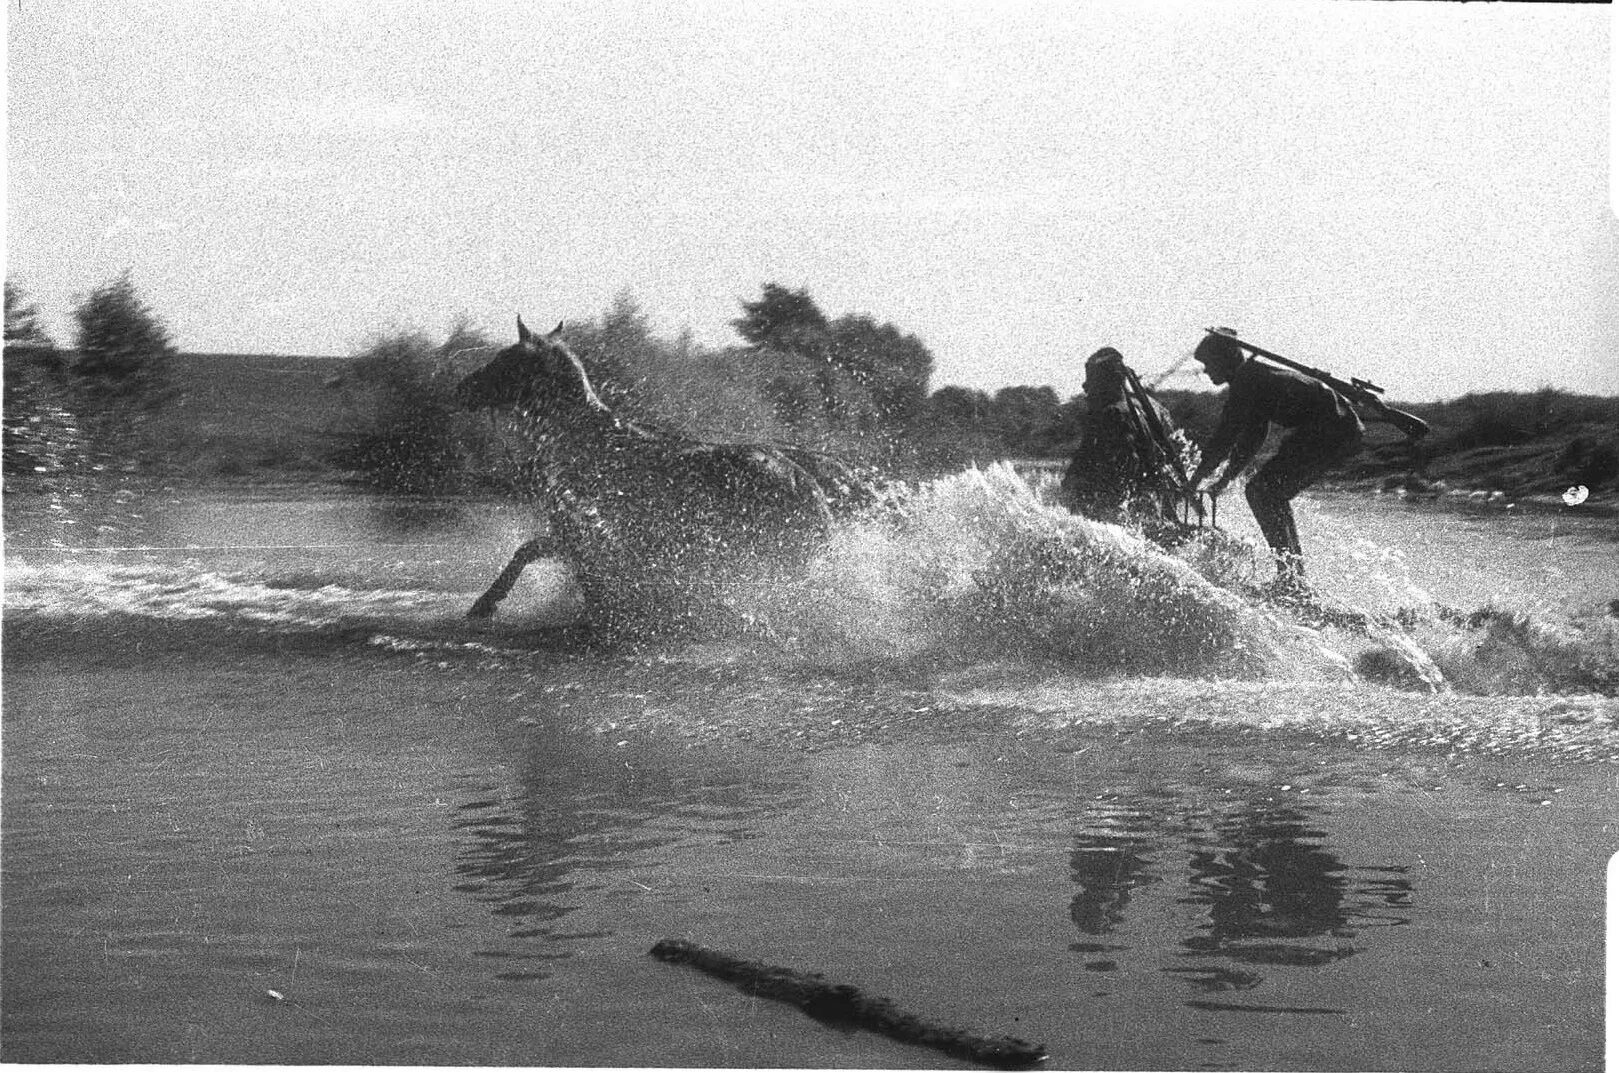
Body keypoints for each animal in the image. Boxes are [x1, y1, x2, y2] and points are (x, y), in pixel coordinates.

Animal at [456, 317, 880, 637]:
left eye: (506, 358)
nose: (463, 387)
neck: (591, 443)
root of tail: (809, 485)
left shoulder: (588, 533)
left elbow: (531, 552)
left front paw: (486, 603)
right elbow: (533, 552)